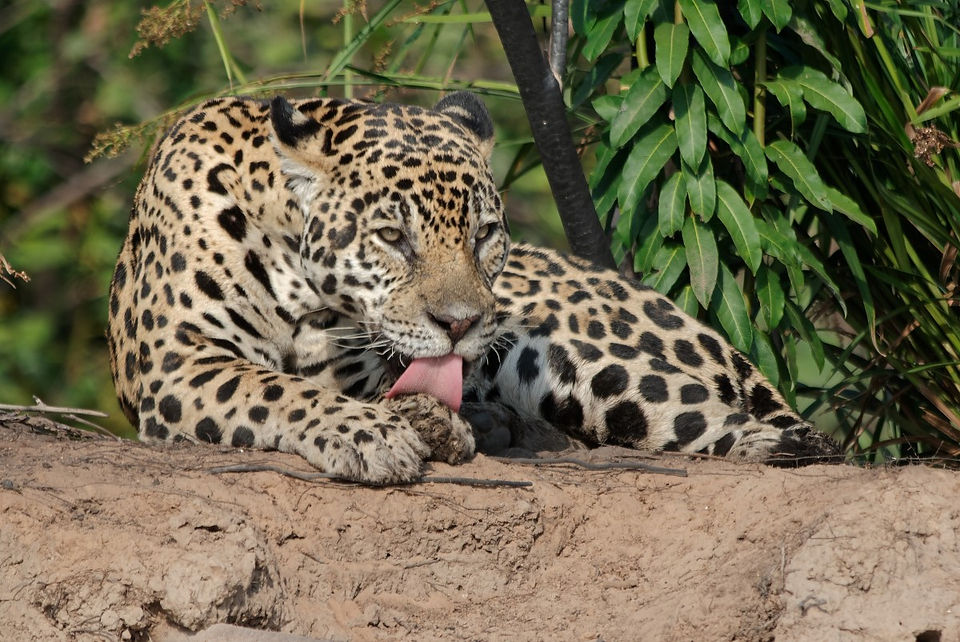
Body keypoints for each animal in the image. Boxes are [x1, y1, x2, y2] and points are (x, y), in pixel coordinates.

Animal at [107, 91, 840, 484]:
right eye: (392, 236)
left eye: (484, 233)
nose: (459, 323)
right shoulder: (180, 364)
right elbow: (275, 389)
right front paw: (377, 435)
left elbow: (323, 388)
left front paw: (424, 425)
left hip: (564, 357)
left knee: (793, 435)